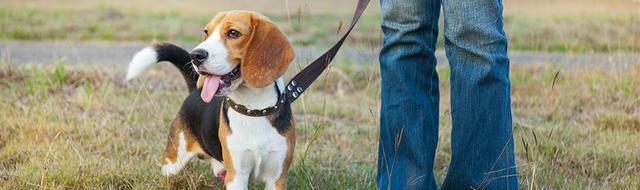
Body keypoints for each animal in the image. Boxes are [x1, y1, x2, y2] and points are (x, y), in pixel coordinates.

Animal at [126, 11, 296, 189]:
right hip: (172, 162)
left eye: (233, 33)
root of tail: (195, 90)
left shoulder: (276, 179)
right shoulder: (236, 176)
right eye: (206, 32)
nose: (195, 56)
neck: (253, 109)